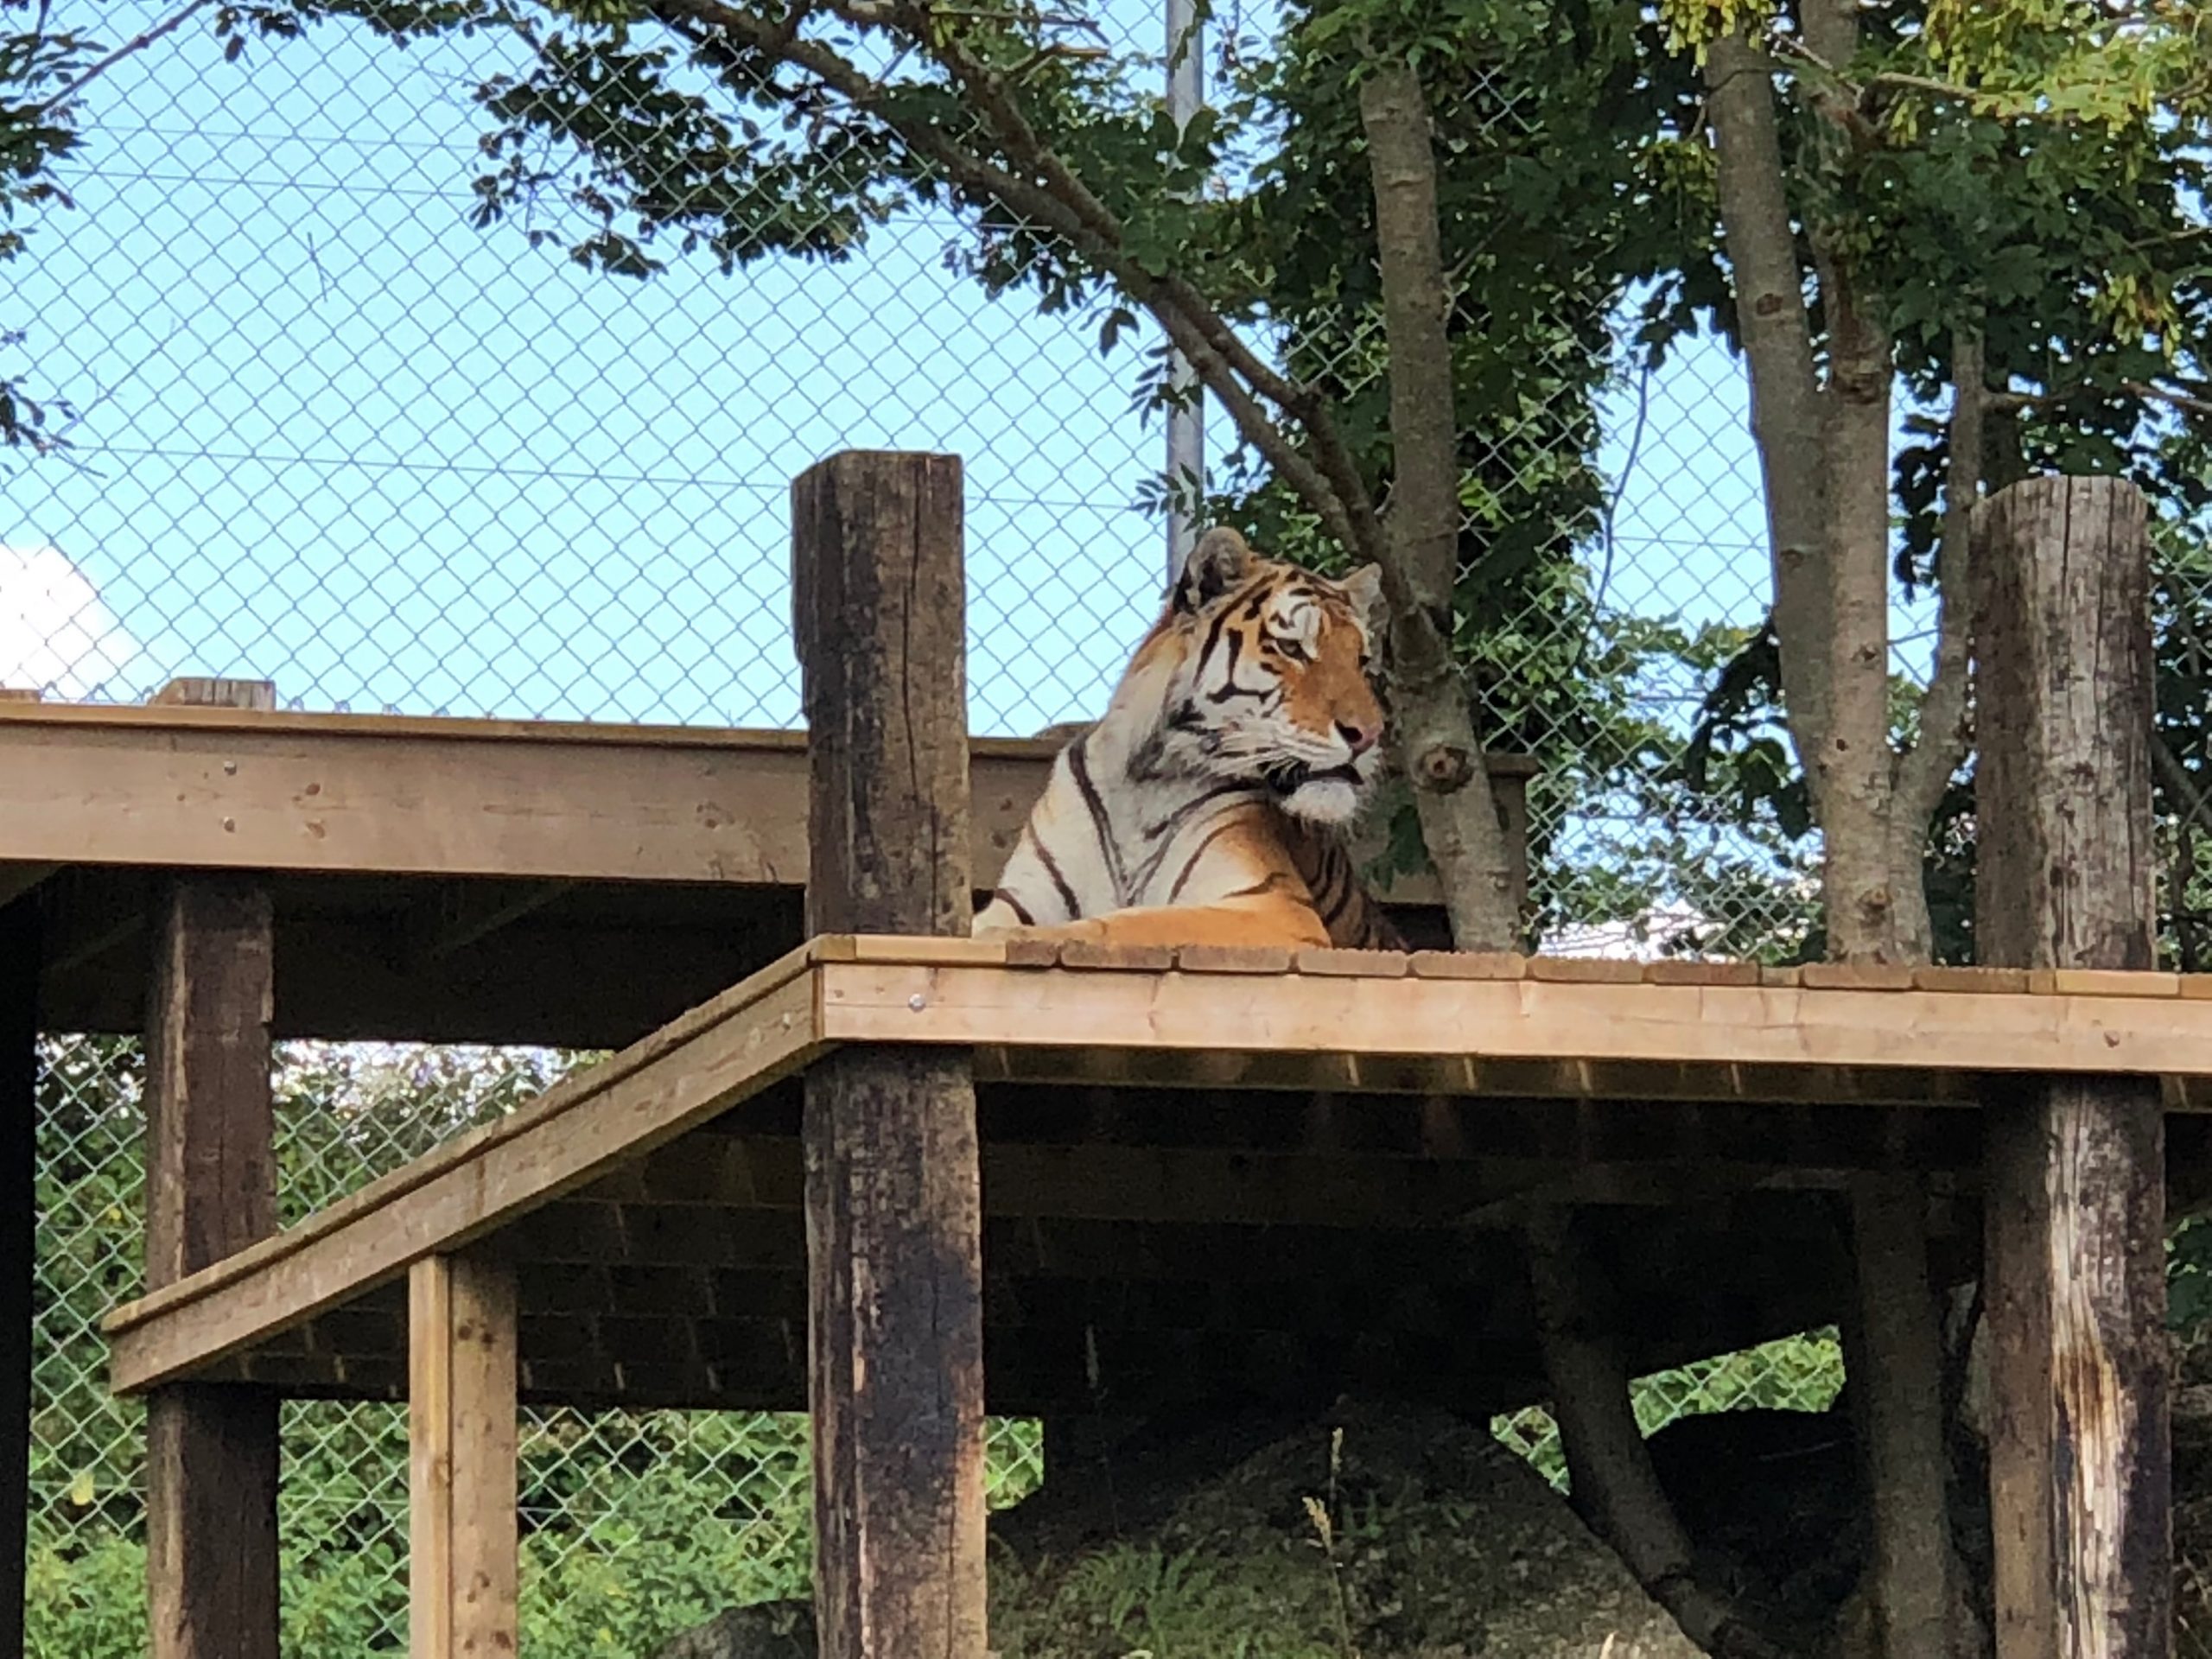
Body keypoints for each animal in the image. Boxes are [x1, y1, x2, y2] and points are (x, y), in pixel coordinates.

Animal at [977, 526, 1407, 955]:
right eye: (1291, 648)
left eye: (1361, 661)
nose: (1369, 736)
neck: (1142, 783)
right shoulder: (1019, 898)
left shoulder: (1273, 904)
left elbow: (1139, 921)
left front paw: (1012, 937)